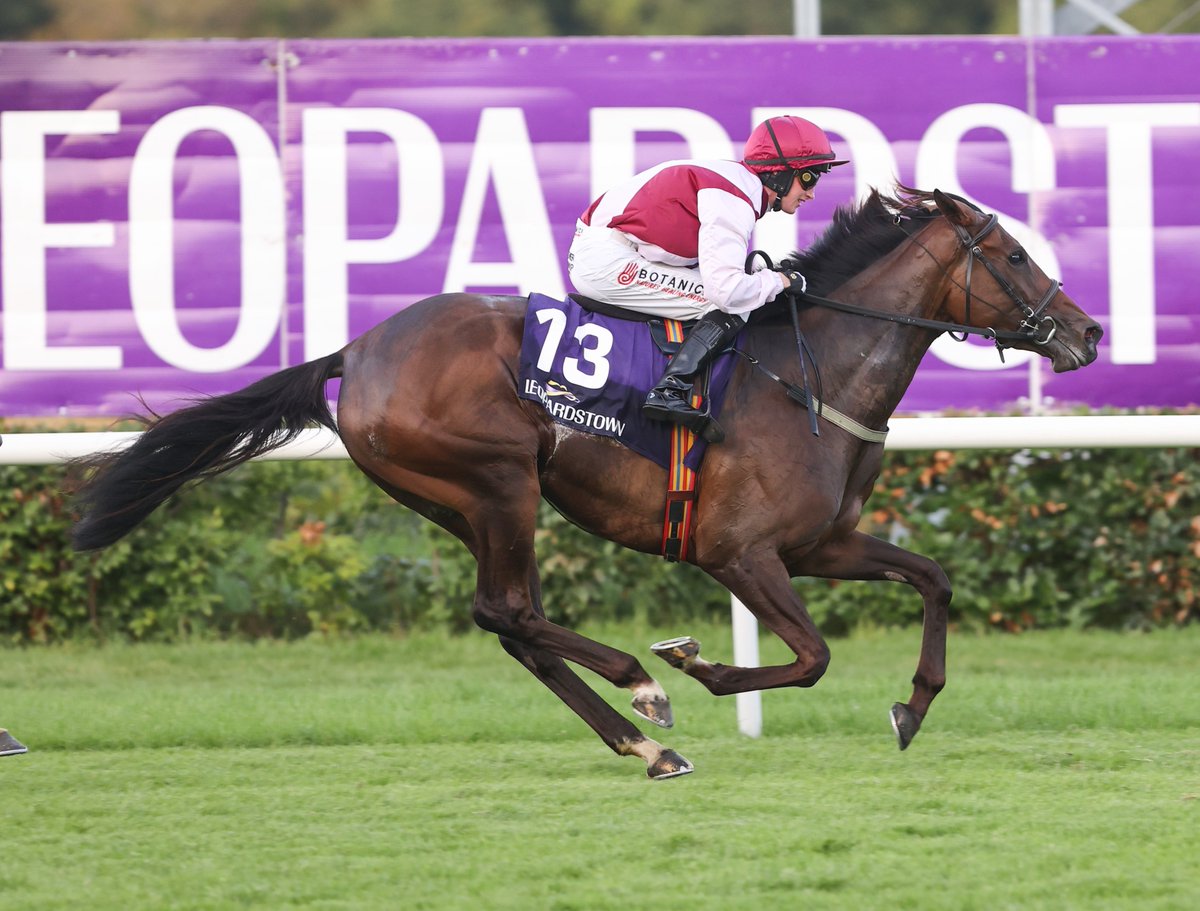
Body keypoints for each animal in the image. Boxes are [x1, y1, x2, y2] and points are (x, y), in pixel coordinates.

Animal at [70, 187, 1103, 779]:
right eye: (1014, 256)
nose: (1089, 332)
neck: (808, 374)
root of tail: (356, 350)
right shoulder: (739, 551)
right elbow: (811, 656)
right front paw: (697, 664)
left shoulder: (820, 542)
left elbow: (933, 577)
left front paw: (912, 706)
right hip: (496, 480)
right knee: (508, 610)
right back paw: (644, 692)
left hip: (461, 500)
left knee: (511, 621)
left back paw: (645, 743)